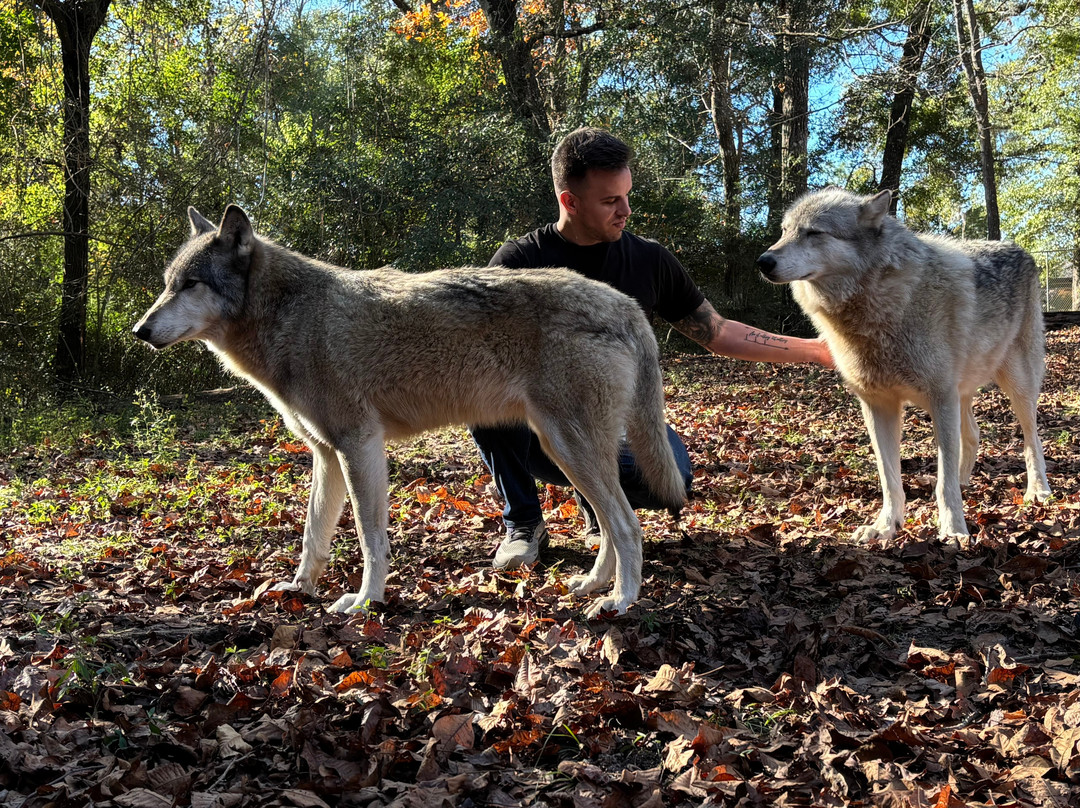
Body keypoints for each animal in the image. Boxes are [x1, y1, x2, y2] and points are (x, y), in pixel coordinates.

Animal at [133, 205, 686, 616]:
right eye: (167, 283)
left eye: (191, 285)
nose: (139, 330)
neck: (291, 316)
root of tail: (626, 305)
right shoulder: (326, 455)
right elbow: (313, 536)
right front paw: (298, 589)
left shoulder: (359, 446)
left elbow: (369, 538)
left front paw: (364, 602)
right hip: (567, 451)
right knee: (612, 523)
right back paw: (593, 585)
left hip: (569, 449)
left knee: (627, 525)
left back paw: (620, 602)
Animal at [757, 188, 1051, 547]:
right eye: (784, 231)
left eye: (814, 232)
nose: (763, 261)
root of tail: (1019, 248)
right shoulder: (878, 405)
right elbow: (889, 478)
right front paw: (885, 525)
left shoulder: (940, 398)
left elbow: (942, 482)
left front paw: (953, 529)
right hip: (962, 394)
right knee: (974, 435)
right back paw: (966, 480)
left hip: (1018, 386)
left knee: (1032, 439)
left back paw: (1038, 491)